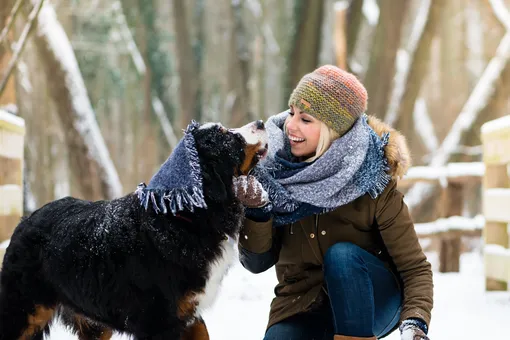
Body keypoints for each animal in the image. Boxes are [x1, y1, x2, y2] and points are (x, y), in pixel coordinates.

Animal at [0, 119, 268, 338]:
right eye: (224, 134)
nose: (261, 122)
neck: (185, 219)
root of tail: (26, 219)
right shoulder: (159, 322)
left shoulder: (189, 316)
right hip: (23, 314)